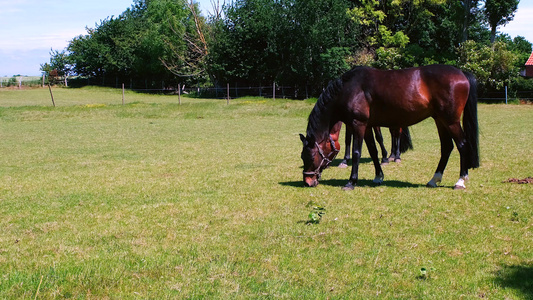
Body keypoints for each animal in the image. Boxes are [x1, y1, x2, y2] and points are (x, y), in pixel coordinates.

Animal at [300, 65, 478, 190]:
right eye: (302, 157)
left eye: (310, 157)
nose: (308, 181)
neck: (350, 88)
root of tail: (462, 74)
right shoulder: (368, 126)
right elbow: (373, 151)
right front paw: (378, 176)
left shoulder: (358, 124)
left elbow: (357, 153)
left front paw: (351, 182)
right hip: (440, 120)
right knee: (447, 147)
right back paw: (434, 179)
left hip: (451, 121)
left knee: (462, 145)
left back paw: (460, 181)